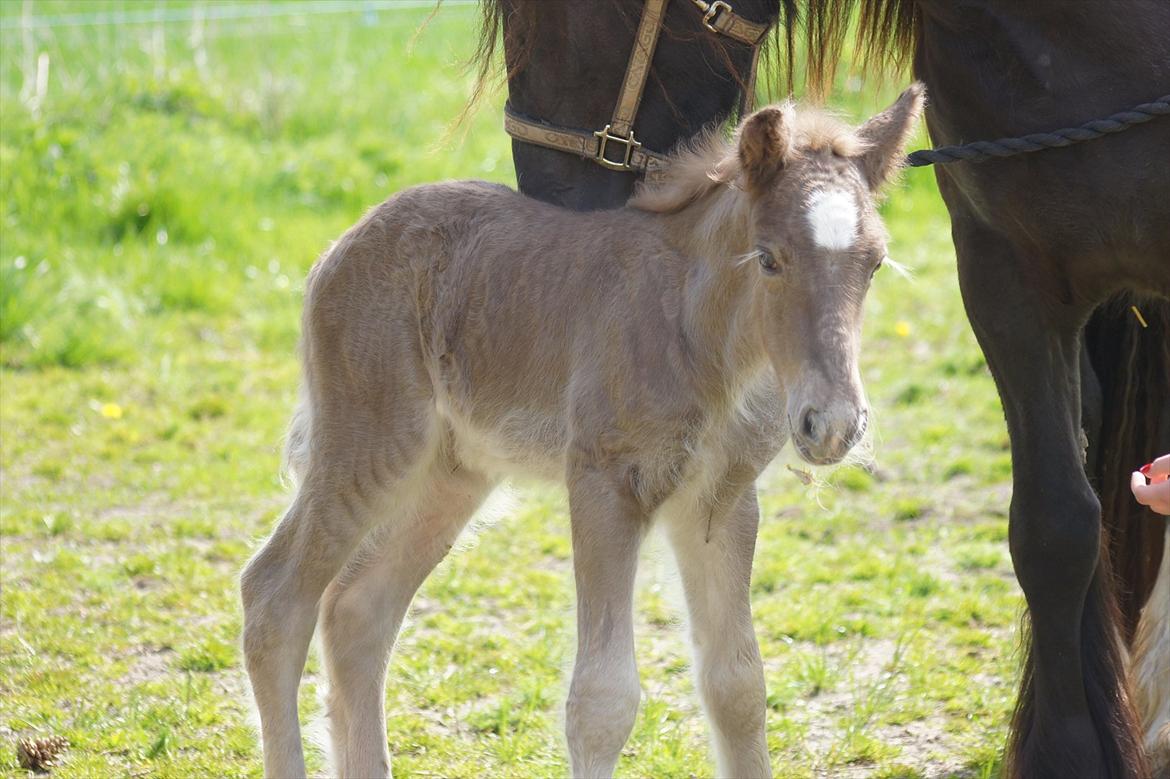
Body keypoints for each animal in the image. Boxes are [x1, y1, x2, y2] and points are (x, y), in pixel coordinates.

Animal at [242, 86, 926, 776]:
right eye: (768, 259)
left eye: (874, 264)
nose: (832, 424)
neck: (701, 337)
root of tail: (337, 250)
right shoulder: (604, 482)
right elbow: (602, 701)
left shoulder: (721, 501)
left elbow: (738, 685)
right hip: (370, 441)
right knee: (275, 597)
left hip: (453, 471)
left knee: (358, 609)